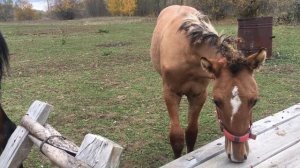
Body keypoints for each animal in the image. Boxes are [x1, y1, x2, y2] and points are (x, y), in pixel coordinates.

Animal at [149, 5, 264, 163]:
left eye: (254, 101)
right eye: (216, 102)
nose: (238, 156)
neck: (187, 51)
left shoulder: (199, 95)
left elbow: (191, 132)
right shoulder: (170, 94)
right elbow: (176, 137)